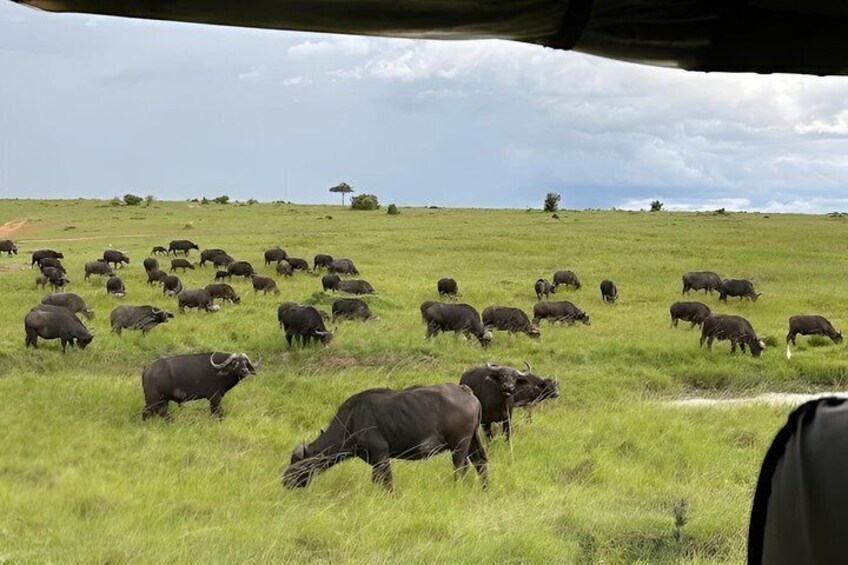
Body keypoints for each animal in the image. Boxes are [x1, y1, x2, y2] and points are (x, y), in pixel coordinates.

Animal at [282, 384, 487, 490]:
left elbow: (386, 480)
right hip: (473, 441)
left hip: (459, 445)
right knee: (481, 463)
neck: (351, 421)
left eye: (296, 461)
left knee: (461, 468)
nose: (284, 480)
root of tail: (466, 392)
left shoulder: (380, 453)